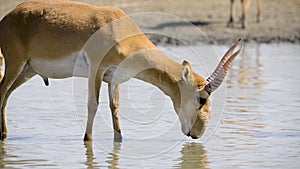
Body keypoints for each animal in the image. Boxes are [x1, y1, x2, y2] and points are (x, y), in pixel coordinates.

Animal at [0, 0, 241, 141]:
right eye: (201, 99)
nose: (197, 133)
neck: (119, 27)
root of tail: (9, 16)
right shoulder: (96, 71)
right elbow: (93, 105)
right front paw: (87, 140)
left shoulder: (113, 78)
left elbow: (114, 108)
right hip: (15, 65)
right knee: (2, 92)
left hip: (27, 70)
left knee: (6, 96)